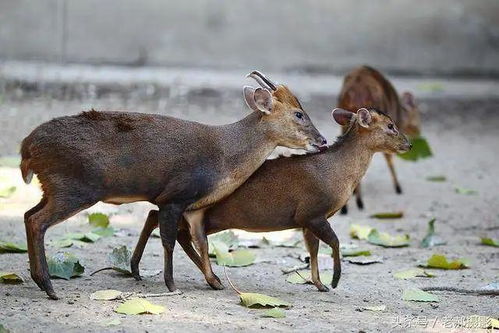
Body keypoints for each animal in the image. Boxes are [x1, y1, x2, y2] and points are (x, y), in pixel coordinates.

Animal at [20, 70, 328, 298]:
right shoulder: (175, 196)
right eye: (299, 114)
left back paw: (40, 280)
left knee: (27, 214)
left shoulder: (192, 205)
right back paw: (49, 287)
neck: (223, 157)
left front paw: (214, 281)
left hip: (53, 188)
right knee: (37, 221)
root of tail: (27, 148)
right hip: (74, 188)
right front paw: (171, 284)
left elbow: (199, 241)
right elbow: (169, 239)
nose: (323, 140)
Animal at [131, 107, 412, 290]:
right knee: (172, 227)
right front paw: (334, 281)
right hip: (206, 214)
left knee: (159, 219)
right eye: (390, 125)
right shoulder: (312, 212)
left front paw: (319, 283)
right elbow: (334, 242)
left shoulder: (306, 220)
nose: (408, 144)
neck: (337, 174)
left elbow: (313, 249)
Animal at [336, 65, 422, 213]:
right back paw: (359, 203)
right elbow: (389, 158)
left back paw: (349, 205)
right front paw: (398, 188)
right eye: (418, 115)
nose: (419, 131)